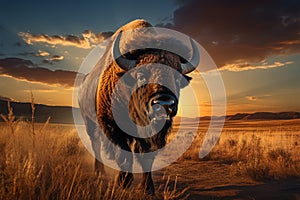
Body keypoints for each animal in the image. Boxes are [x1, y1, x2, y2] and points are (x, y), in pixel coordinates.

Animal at [78, 19, 199, 195]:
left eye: (177, 79)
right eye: (141, 76)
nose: (165, 104)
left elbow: (145, 157)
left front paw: (148, 188)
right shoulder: (112, 126)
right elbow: (123, 155)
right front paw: (124, 182)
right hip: (90, 122)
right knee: (96, 144)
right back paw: (100, 172)